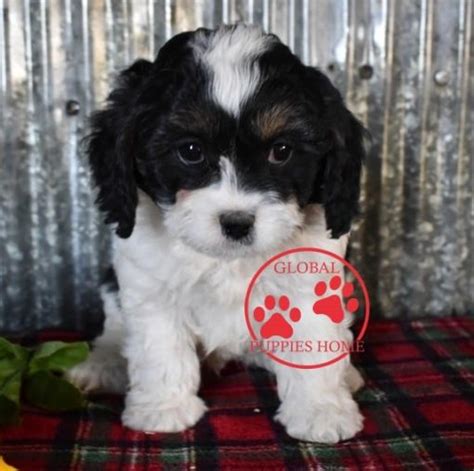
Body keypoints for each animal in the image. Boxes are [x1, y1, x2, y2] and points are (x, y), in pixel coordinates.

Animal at [69, 24, 366, 446]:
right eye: (191, 151)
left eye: (282, 150)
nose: (237, 222)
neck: (229, 260)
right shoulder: (149, 284)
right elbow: (160, 345)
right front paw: (163, 409)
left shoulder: (310, 280)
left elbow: (312, 338)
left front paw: (321, 412)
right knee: (114, 327)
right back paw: (103, 365)